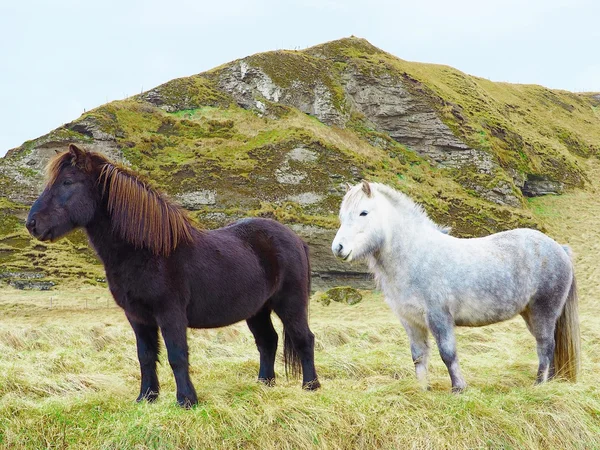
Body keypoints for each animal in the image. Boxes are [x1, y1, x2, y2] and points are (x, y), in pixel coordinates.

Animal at [26, 145, 322, 408]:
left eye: (67, 181)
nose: (32, 224)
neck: (147, 251)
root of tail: (295, 238)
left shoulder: (170, 313)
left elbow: (177, 355)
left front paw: (186, 400)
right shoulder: (137, 317)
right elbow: (145, 356)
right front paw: (146, 398)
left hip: (291, 304)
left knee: (304, 339)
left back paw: (311, 386)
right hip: (258, 310)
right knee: (267, 341)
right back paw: (264, 384)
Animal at [330, 181, 580, 392]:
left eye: (363, 212)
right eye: (342, 215)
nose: (338, 248)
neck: (415, 256)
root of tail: (559, 249)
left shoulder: (439, 317)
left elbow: (447, 354)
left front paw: (458, 388)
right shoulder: (411, 321)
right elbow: (418, 356)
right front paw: (423, 390)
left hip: (542, 312)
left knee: (545, 346)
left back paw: (539, 385)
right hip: (529, 314)